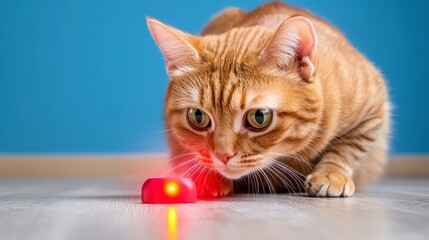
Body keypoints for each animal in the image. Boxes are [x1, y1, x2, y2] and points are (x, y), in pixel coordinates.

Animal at [146, 1, 388, 197]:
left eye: (259, 117)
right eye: (198, 117)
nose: (223, 156)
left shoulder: (374, 106)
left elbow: (349, 147)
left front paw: (331, 173)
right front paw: (208, 175)